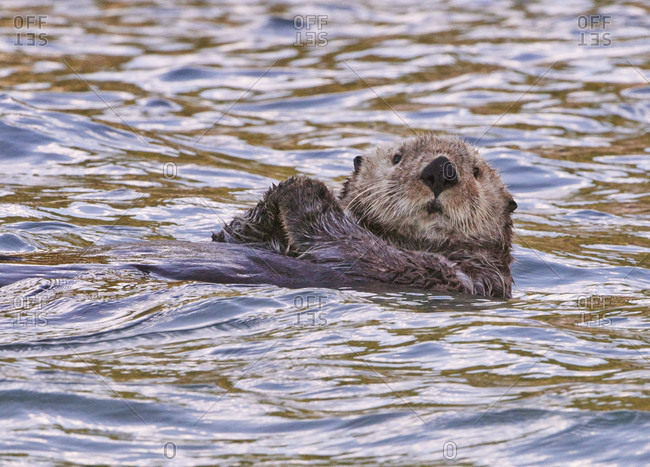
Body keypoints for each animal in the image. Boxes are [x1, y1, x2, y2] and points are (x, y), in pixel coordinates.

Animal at [213, 134, 517, 298]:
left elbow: (358, 247)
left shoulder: (455, 273)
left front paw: (304, 188)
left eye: (476, 172)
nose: (441, 169)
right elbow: (232, 234)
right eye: (397, 157)